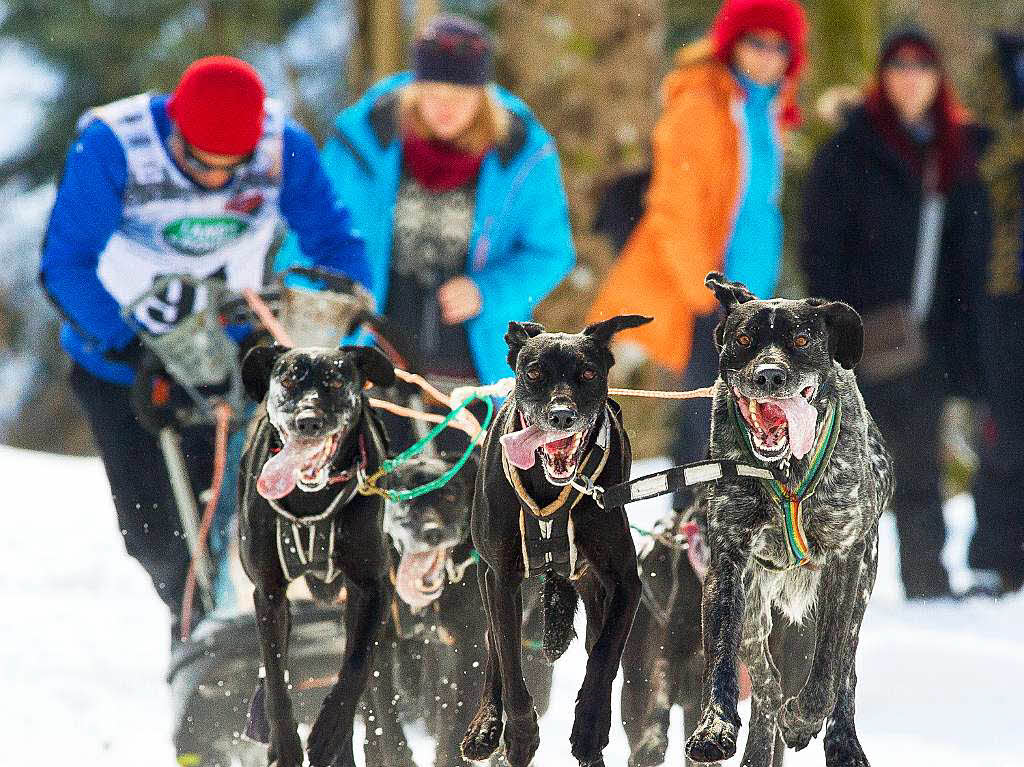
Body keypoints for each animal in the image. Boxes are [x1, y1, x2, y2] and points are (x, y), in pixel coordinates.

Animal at [239, 344, 395, 765]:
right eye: (288, 380)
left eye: (336, 382)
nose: (308, 421)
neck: (313, 503)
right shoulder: (269, 594)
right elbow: (276, 677)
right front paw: (285, 744)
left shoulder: (373, 587)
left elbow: (355, 667)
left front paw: (329, 732)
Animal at [462, 313, 647, 765]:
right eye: (533, 373)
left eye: (588, 374)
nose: (562, 415)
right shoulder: (501, 579)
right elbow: (509, 660)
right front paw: (520, 735)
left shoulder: (624, 584)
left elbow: (603, 658)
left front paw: (589, 727)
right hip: (489, 579)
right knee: (494, 645)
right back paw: (485, 725)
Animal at [688, 274, 897, 765]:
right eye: (745, 340)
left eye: (801, 340)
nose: (769, 375)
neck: (787, 470)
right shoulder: (728, 563)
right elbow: (722, 658)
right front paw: (715, 727)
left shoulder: (845, 562)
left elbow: (827, 667)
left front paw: (804, 719)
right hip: (755, 608)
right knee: (766, 685)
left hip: (863, 583)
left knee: (845, 670)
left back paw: (841, 741)